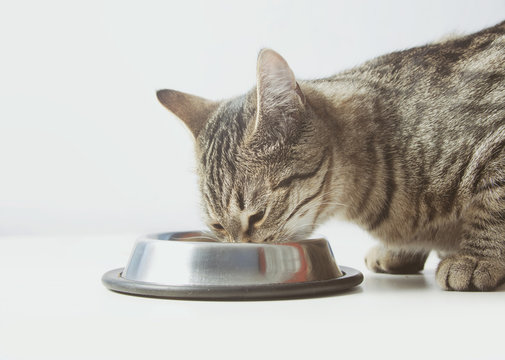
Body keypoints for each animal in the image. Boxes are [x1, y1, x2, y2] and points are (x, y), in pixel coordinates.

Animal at [158, 21, 504, 292]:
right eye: (217, 226)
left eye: (257, 216)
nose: (241, 253)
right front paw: (400, 252)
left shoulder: (497, 144)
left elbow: (492, 203)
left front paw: (476, 258)